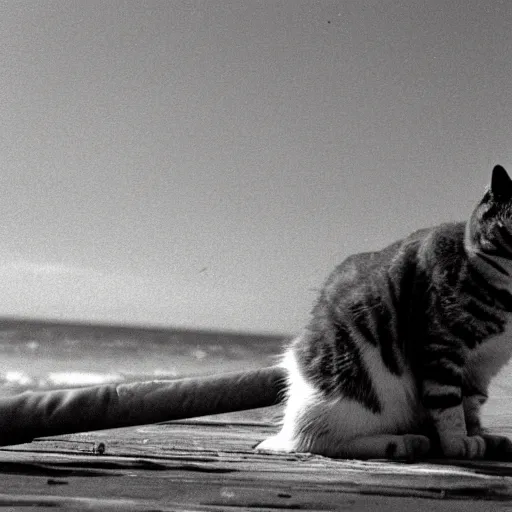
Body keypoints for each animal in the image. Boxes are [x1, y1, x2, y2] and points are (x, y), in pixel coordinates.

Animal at [258, 166, 512, 462]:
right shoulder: (440, 349)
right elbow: (448, 404)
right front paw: (457, 442)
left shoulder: (481, 368)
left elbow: (469, 405)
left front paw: (478, 436)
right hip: (346, 392)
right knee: (319, 442)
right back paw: (404, 443)